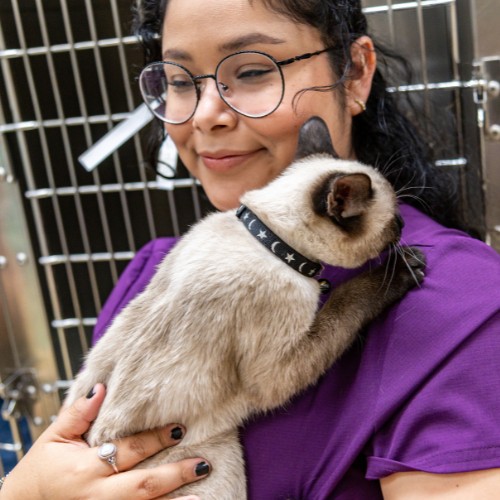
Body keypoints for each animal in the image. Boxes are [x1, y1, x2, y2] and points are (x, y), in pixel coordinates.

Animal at [65, 118, 426, 500]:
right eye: (394, 221)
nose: (404, 226)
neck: (270, 240)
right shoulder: (276, 370)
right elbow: (346, 300)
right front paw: (404, 270)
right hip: (220, 461)